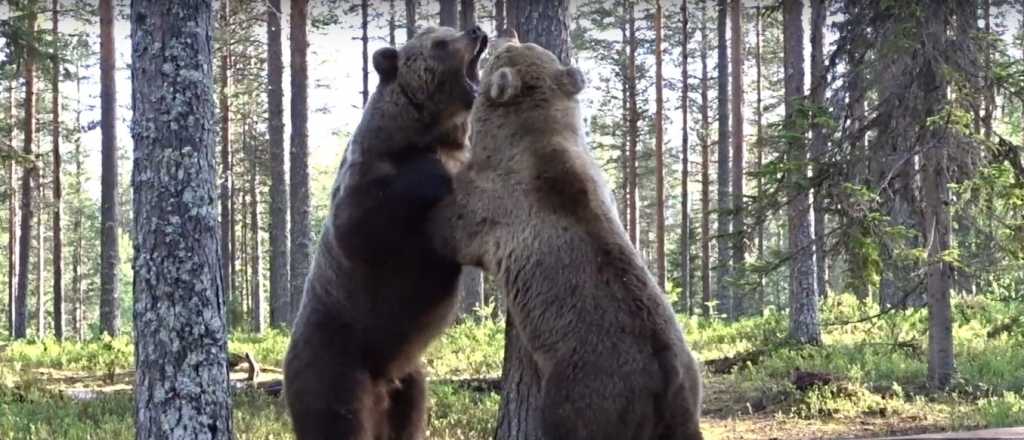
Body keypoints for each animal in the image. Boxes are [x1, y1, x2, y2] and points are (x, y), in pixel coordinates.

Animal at [280, 24, 487, 440]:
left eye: (449, 31)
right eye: (441, 43)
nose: (476, 30)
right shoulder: (366, 180)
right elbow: (360, 229)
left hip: (409, 379)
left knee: (409, 417)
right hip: (336, 356)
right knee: (335, 417)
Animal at [432, 31, 704, 440]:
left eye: (505, 52)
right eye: (523, 45)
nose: (505, 33)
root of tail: (668, 386)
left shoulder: (496, 206)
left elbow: (451, 228)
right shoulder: (596, 179)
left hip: (584, 393)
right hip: (691, 376)